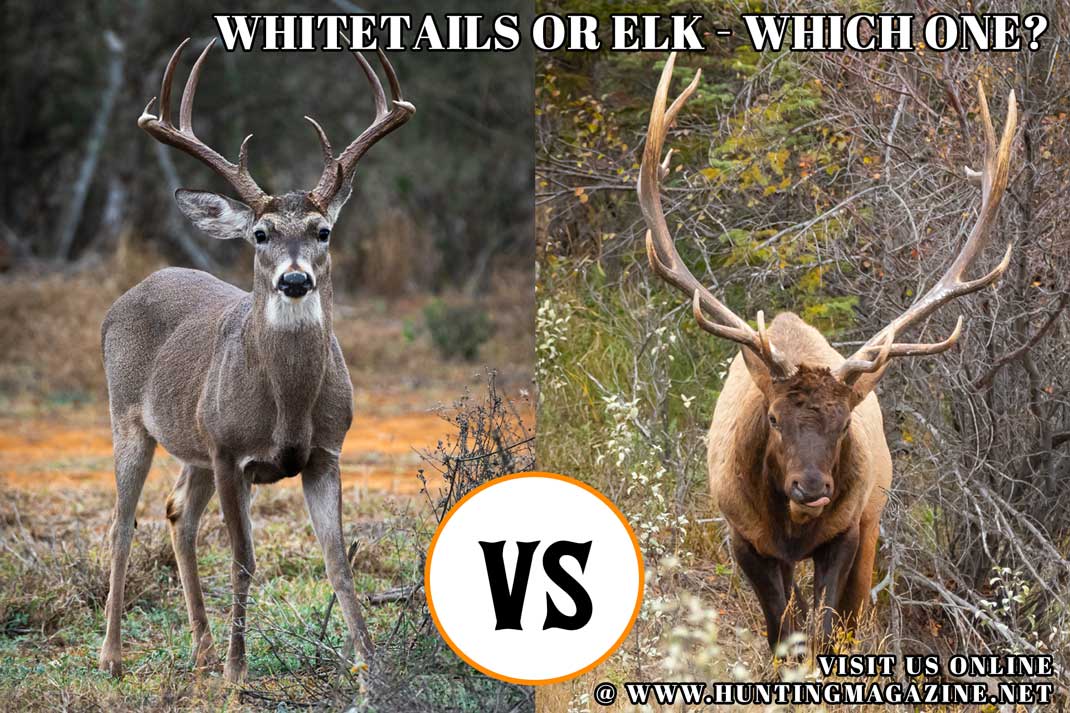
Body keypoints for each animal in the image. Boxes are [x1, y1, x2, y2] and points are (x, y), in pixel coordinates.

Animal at [98, 37, 414, 681]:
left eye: (322, 230)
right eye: (262, 234)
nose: (294, 280)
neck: (287, 405)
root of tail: (125, 298)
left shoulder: (325, 452)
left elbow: (339, 561)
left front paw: (370, 669)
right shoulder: (229, 452)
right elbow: (243, 560)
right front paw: (237, 674)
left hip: (191, 439)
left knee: (177, 513)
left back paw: (200, 648)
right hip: (131, 420)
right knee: (121, 523)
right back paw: (114, 657)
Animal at [638, 53, 1016, 653]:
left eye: (842, 425)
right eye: (772, 417)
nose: (811, 486)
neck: (791, 526)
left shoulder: (847, 531)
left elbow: (823, 631)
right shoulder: (741, 537)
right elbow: (782, 633)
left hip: (872, 518)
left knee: (856, 613)